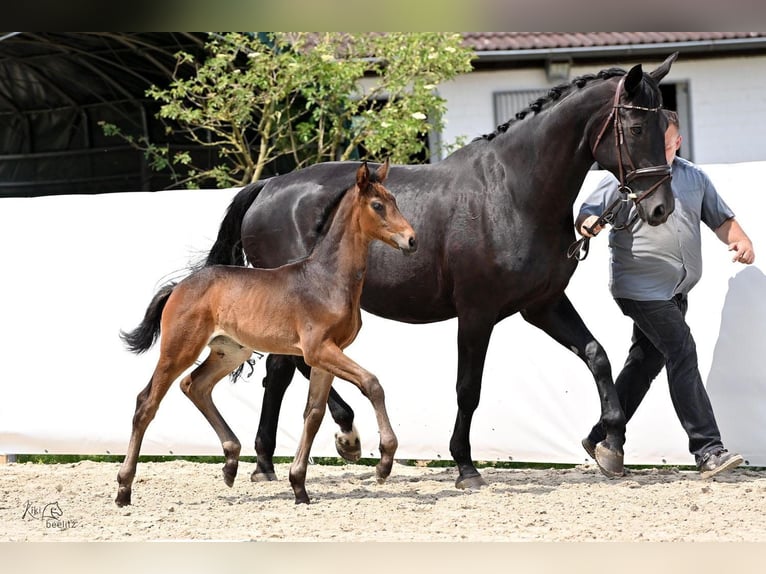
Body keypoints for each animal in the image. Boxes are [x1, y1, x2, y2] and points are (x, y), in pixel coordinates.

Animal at [116, 160, 416, 506]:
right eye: (378, 205)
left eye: (395, 200)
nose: (412, 240)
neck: (326, 278)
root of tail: (178, 287)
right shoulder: (319, 349)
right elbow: (372, 384)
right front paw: (384, 462)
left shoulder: (325, 355)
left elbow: (313, 413)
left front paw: (299, 486)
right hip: (179, 348)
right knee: (146, 402)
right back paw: (123, 489)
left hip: (230, 351)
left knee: (195, 385)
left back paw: (231, 461)